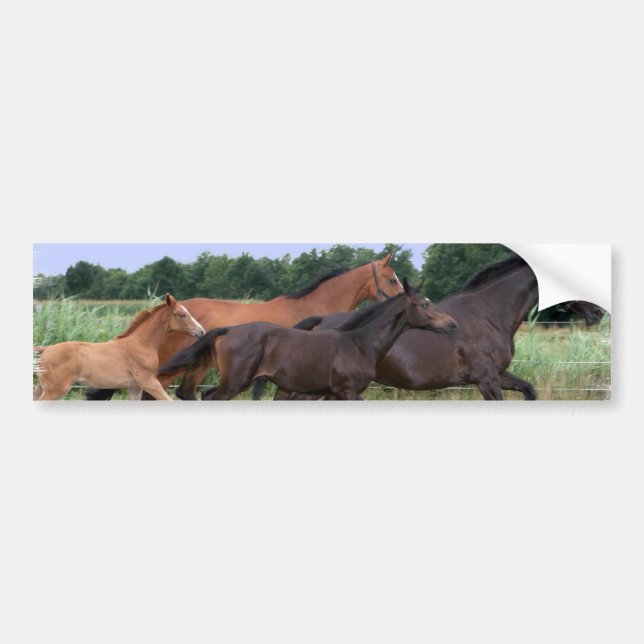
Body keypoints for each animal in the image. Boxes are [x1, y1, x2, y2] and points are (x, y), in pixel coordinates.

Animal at [33, 294, 205, 400]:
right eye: (182, 315)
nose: (201, 331)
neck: (141, 344)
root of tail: (45, 349)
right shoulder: (149, 382)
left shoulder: (135, 387)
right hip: (55, 390)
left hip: (42, 388)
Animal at [159, 278, 458, 401]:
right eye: (425, 304)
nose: (453, 324)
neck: (359, 343)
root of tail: (229, 330)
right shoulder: (347, 391)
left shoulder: (332, 393)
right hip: (233, 382)